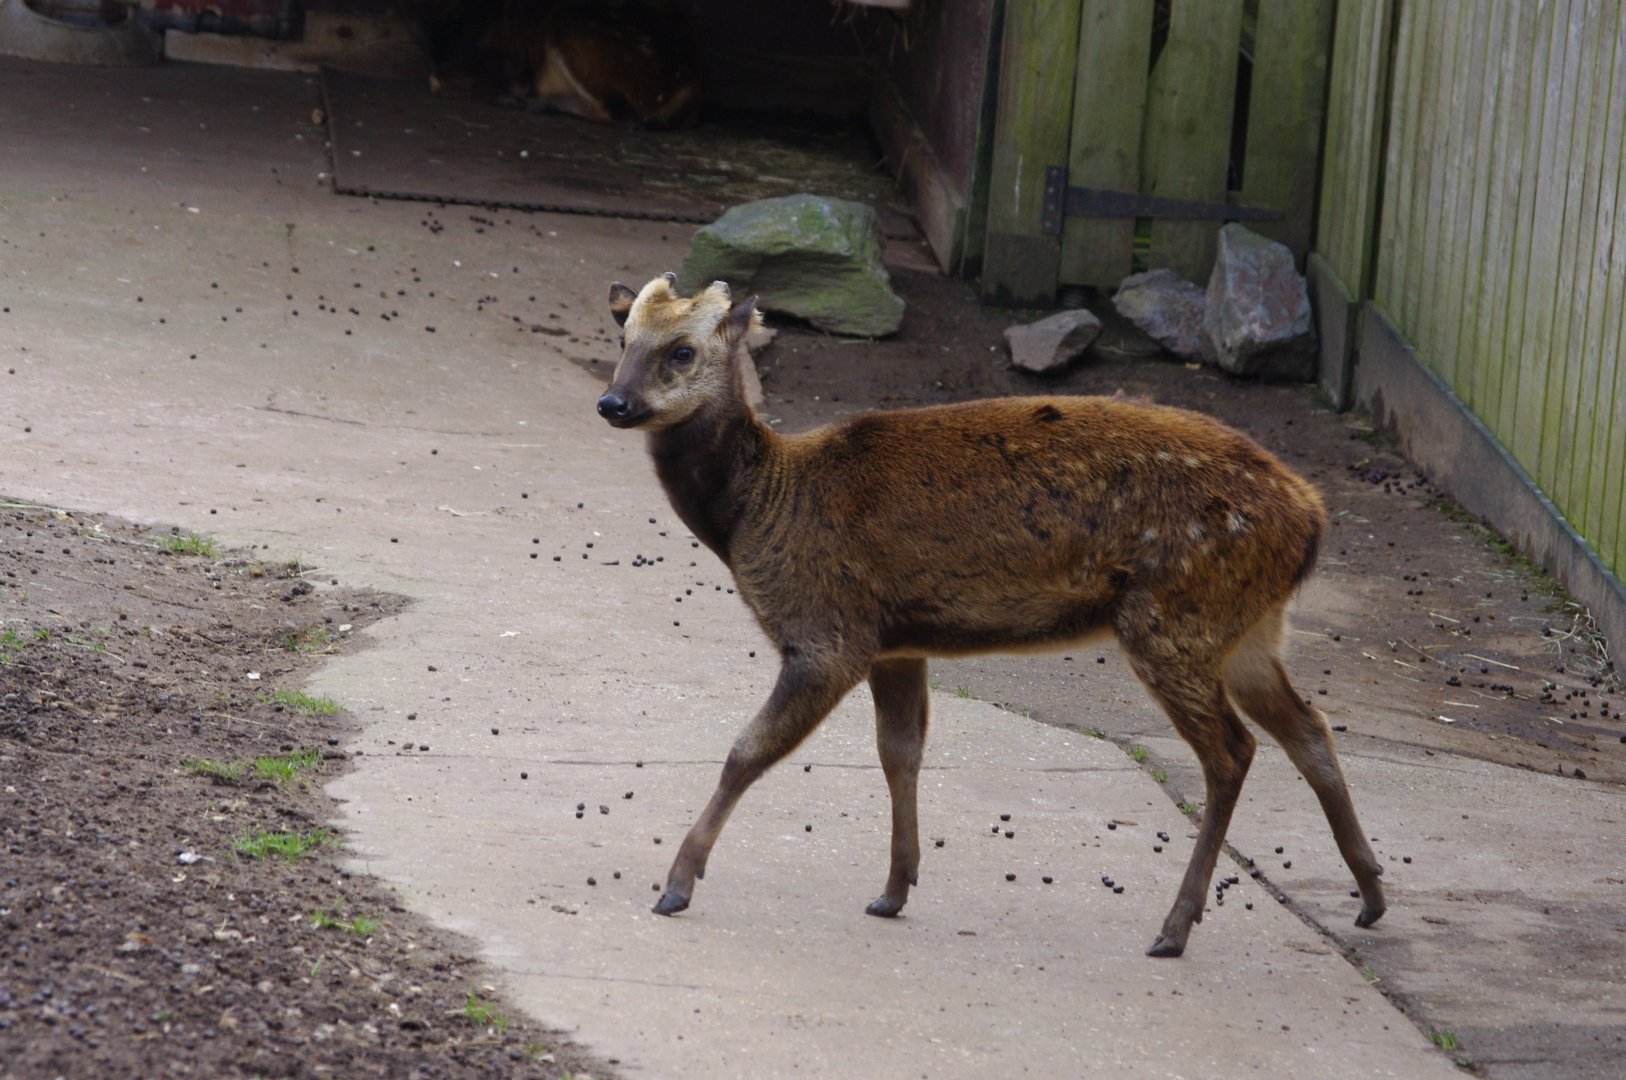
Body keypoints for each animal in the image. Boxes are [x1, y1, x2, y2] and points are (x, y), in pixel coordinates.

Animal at [594, 274, 1386, 957]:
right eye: (622, 335)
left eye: (682, 349)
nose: (613, 403)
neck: (759, 511)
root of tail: (1311, 518)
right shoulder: (894, 642)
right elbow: (900, 751)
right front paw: (893, 889)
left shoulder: (829, 632)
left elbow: (746, 751)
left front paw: (676, 885)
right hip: (1248, 628)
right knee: (1308, 728)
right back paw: (1372, 896)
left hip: (1173, 618)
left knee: (1232, 751)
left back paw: (1174, 927)